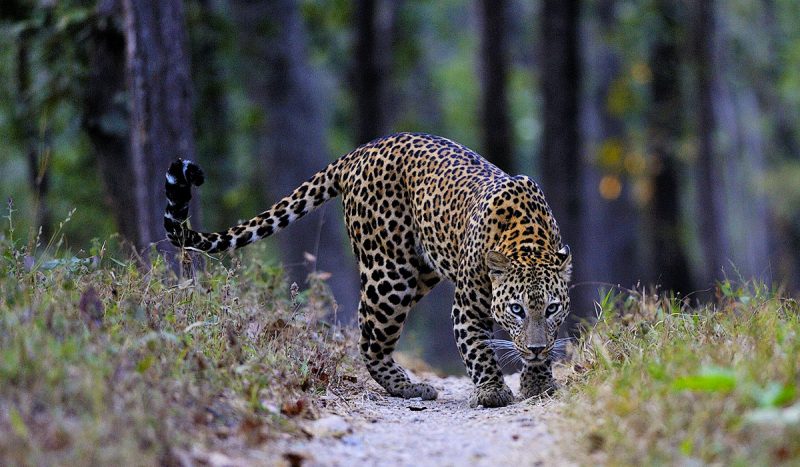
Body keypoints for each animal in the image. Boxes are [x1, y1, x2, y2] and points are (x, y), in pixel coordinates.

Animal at [164, 132, 572, 408]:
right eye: (516, 309)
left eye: (552, 308)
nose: (536, 348)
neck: (528, 242)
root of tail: (360, 151)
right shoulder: (468, 305)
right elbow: (476, 346)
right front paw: (492, 390)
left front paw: (538, 382)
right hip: (390, 274)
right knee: (368, 338)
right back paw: (408, 386)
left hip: (417, 270)